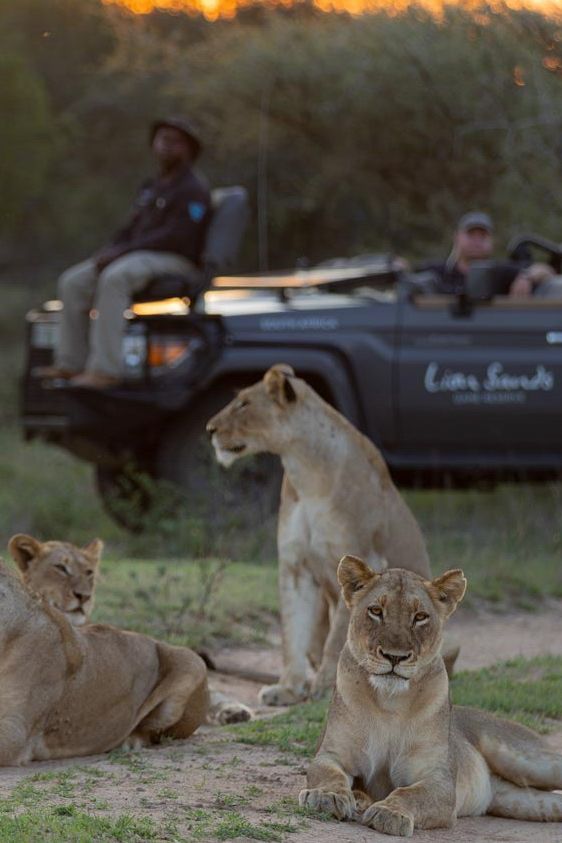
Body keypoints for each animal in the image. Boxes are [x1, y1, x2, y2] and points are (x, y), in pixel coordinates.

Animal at [207, 364, 433, 705]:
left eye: (244, 404)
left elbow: (339, 637)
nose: (209, 429)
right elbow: (292, 633)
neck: (306, 471)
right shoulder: (294, 565)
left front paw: (328, 687)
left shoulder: (363, 558)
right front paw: (288, 688)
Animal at [299, 557, 562, 836]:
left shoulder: (439, 780)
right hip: (520, 800)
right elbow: (327, 774)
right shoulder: (332, 754)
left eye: (420, 617)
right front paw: (328, 796)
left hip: (528, 760)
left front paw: (389, 813)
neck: (390, 701)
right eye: (376, 611)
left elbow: (409, 794)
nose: (394, 656)